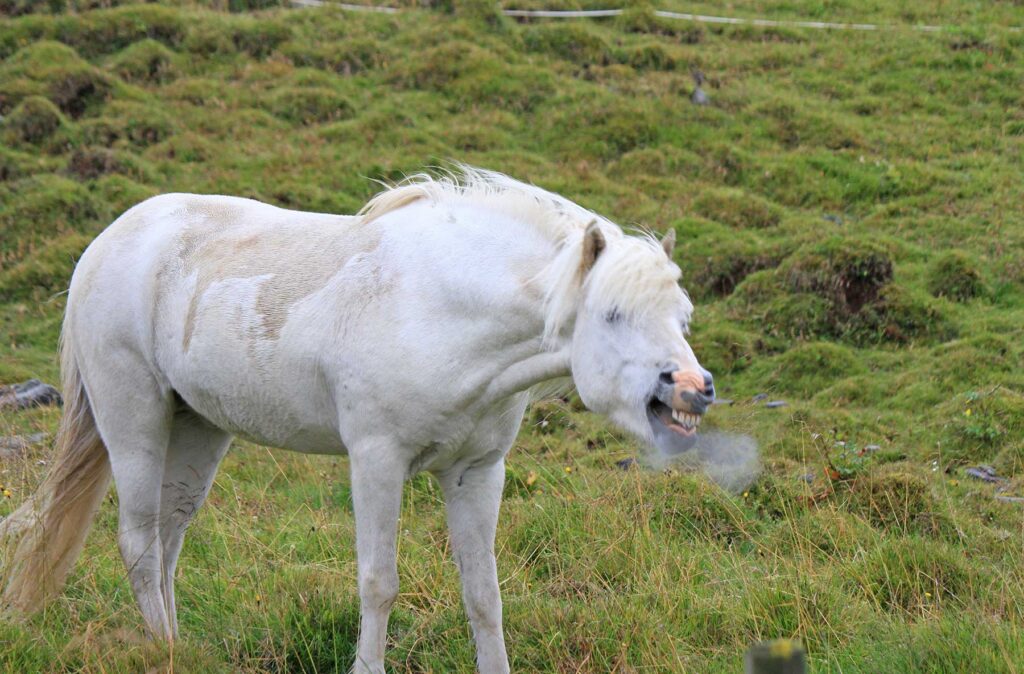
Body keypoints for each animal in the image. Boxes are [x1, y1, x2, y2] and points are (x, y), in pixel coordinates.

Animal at [0, 167, 715, 673]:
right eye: (613, 314)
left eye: (681, 317)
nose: (694, 389)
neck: (443, 306)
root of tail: (105, 244)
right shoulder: (377, 461)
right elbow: (378, 584)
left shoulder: (478, 473)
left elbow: (483, 595)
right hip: (134, 422)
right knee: (139, 544)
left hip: (198, 428)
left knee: (169, 541)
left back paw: (174, 649)